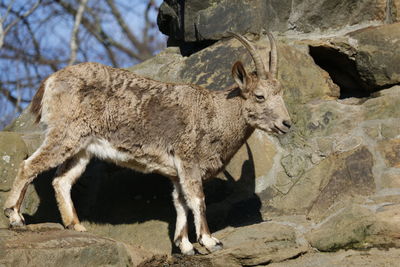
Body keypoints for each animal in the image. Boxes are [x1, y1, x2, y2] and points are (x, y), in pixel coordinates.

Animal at [3, 32, 290, 256]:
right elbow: (197, 198)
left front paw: (184, 245)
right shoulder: (188, 159)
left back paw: (76, 225)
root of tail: (50, 82)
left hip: (83, 147)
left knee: (61, 180)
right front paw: (210, 241)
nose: (286, 123)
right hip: (65, 134)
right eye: (260, 96)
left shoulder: (176, 172)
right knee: (28, 165)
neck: (214, 114)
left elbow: (180, 202)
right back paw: (15, 216)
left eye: (281, 93)